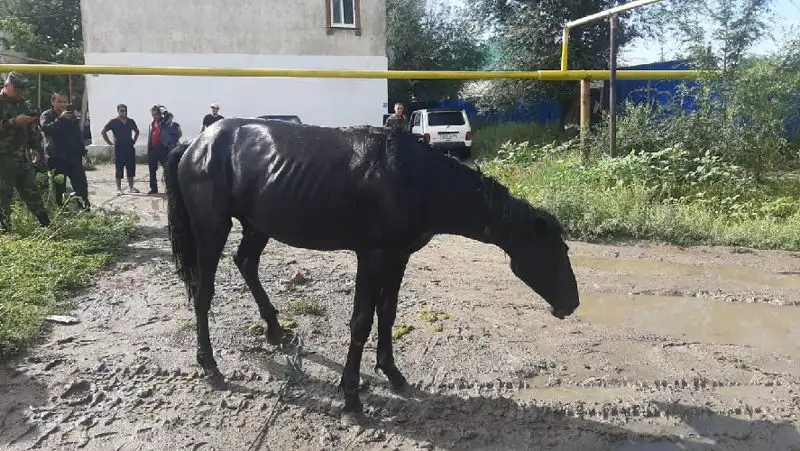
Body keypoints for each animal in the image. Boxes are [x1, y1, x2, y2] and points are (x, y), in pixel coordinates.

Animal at [164, 117, 580, 424]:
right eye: (558, 250)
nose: (572, 303)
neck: (416, 180)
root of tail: (196, 145)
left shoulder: (398, 256)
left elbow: (388, 313)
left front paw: (392, 372)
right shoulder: (373, 255)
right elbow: (362, 321)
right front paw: (351, 399)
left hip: (257, 225)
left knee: (246, 263)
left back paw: (275, 329)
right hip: (212, 229)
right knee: (202, 292)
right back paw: (210, 366)